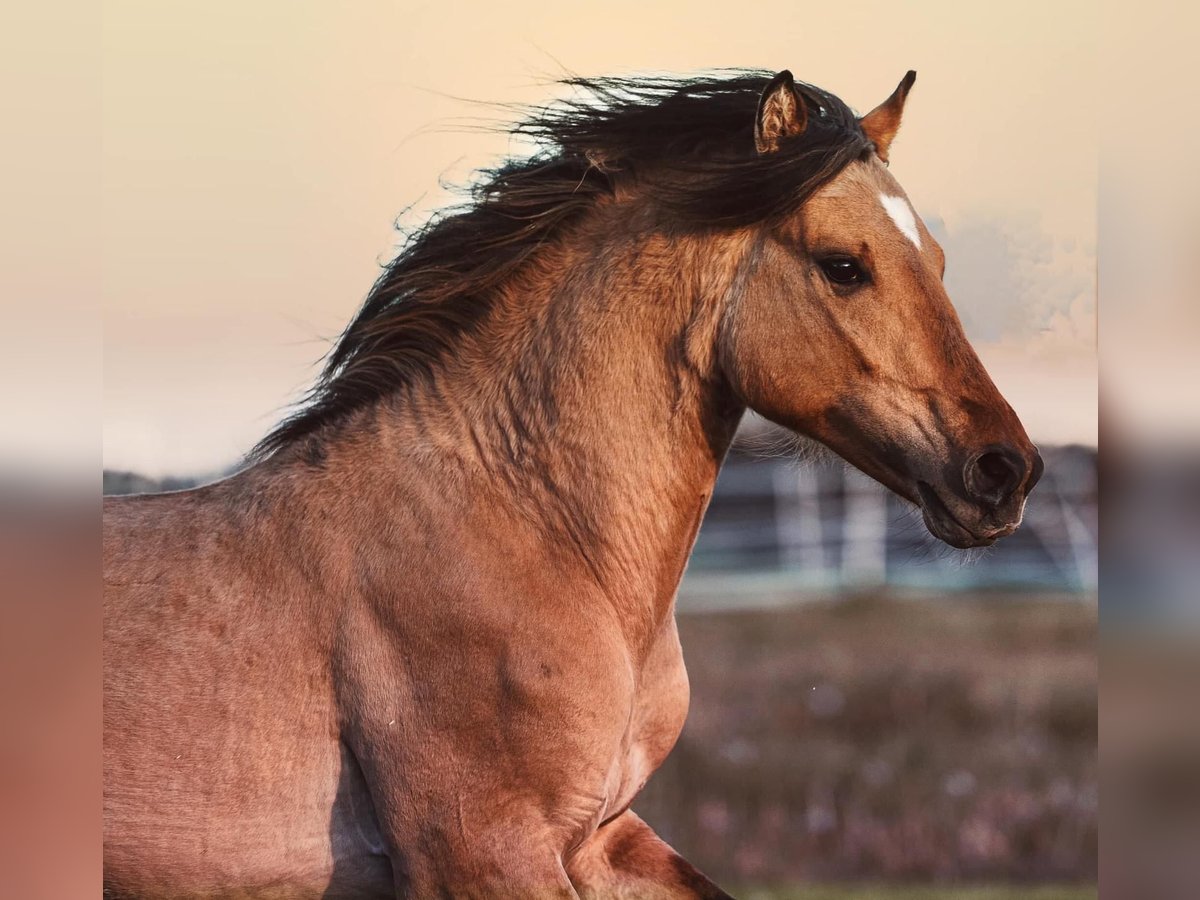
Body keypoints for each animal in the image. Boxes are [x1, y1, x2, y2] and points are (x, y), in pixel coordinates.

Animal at [103, 69, 1043, 898]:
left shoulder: (602, 834)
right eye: (844, 265)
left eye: (938, 261)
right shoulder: (482, 853)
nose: (1004, 470)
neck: (528, 530)